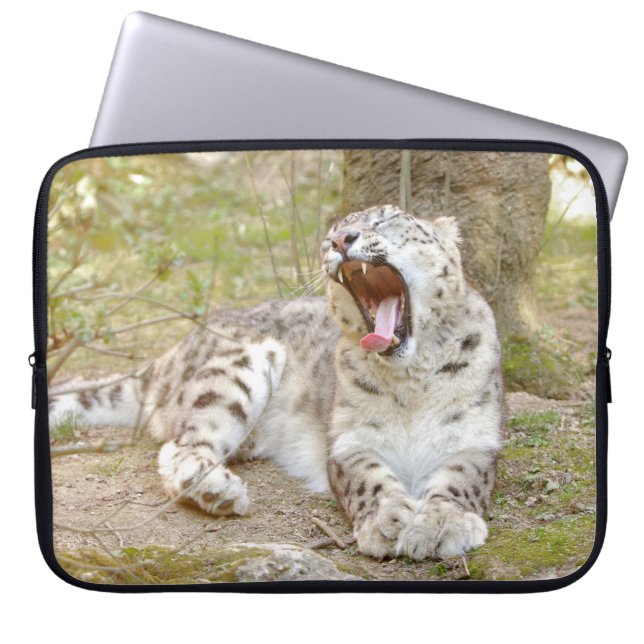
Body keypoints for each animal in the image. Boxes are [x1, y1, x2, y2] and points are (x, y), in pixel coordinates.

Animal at [49, 204, 503, 560]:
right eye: (329, 234)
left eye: (387, 219)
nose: (341, 240)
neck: (411, 380)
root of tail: (170, 353)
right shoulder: (351, 439)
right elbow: (371, 479)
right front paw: (389, 520)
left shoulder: (473, 436)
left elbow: (460, 479)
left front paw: (440, 525)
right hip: (239, 367)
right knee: (180, 446)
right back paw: (217, 488)